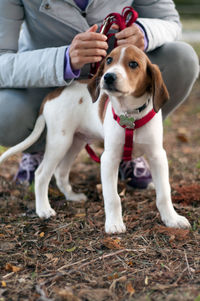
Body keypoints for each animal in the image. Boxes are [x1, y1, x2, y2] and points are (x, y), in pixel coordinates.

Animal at [0, 44, 191, 232]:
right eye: (109, 60)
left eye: (133, 64)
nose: (108, 76)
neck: (131, 116)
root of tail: (54, 93)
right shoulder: (109, 158)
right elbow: (113, 197)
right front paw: (114, 224)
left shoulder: (157, 156)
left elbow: (164, 193)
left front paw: (172, 219)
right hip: (59, 141)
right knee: (41, 174)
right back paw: (43, 210)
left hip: (75, 142)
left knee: (60, 172)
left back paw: (72, 196)